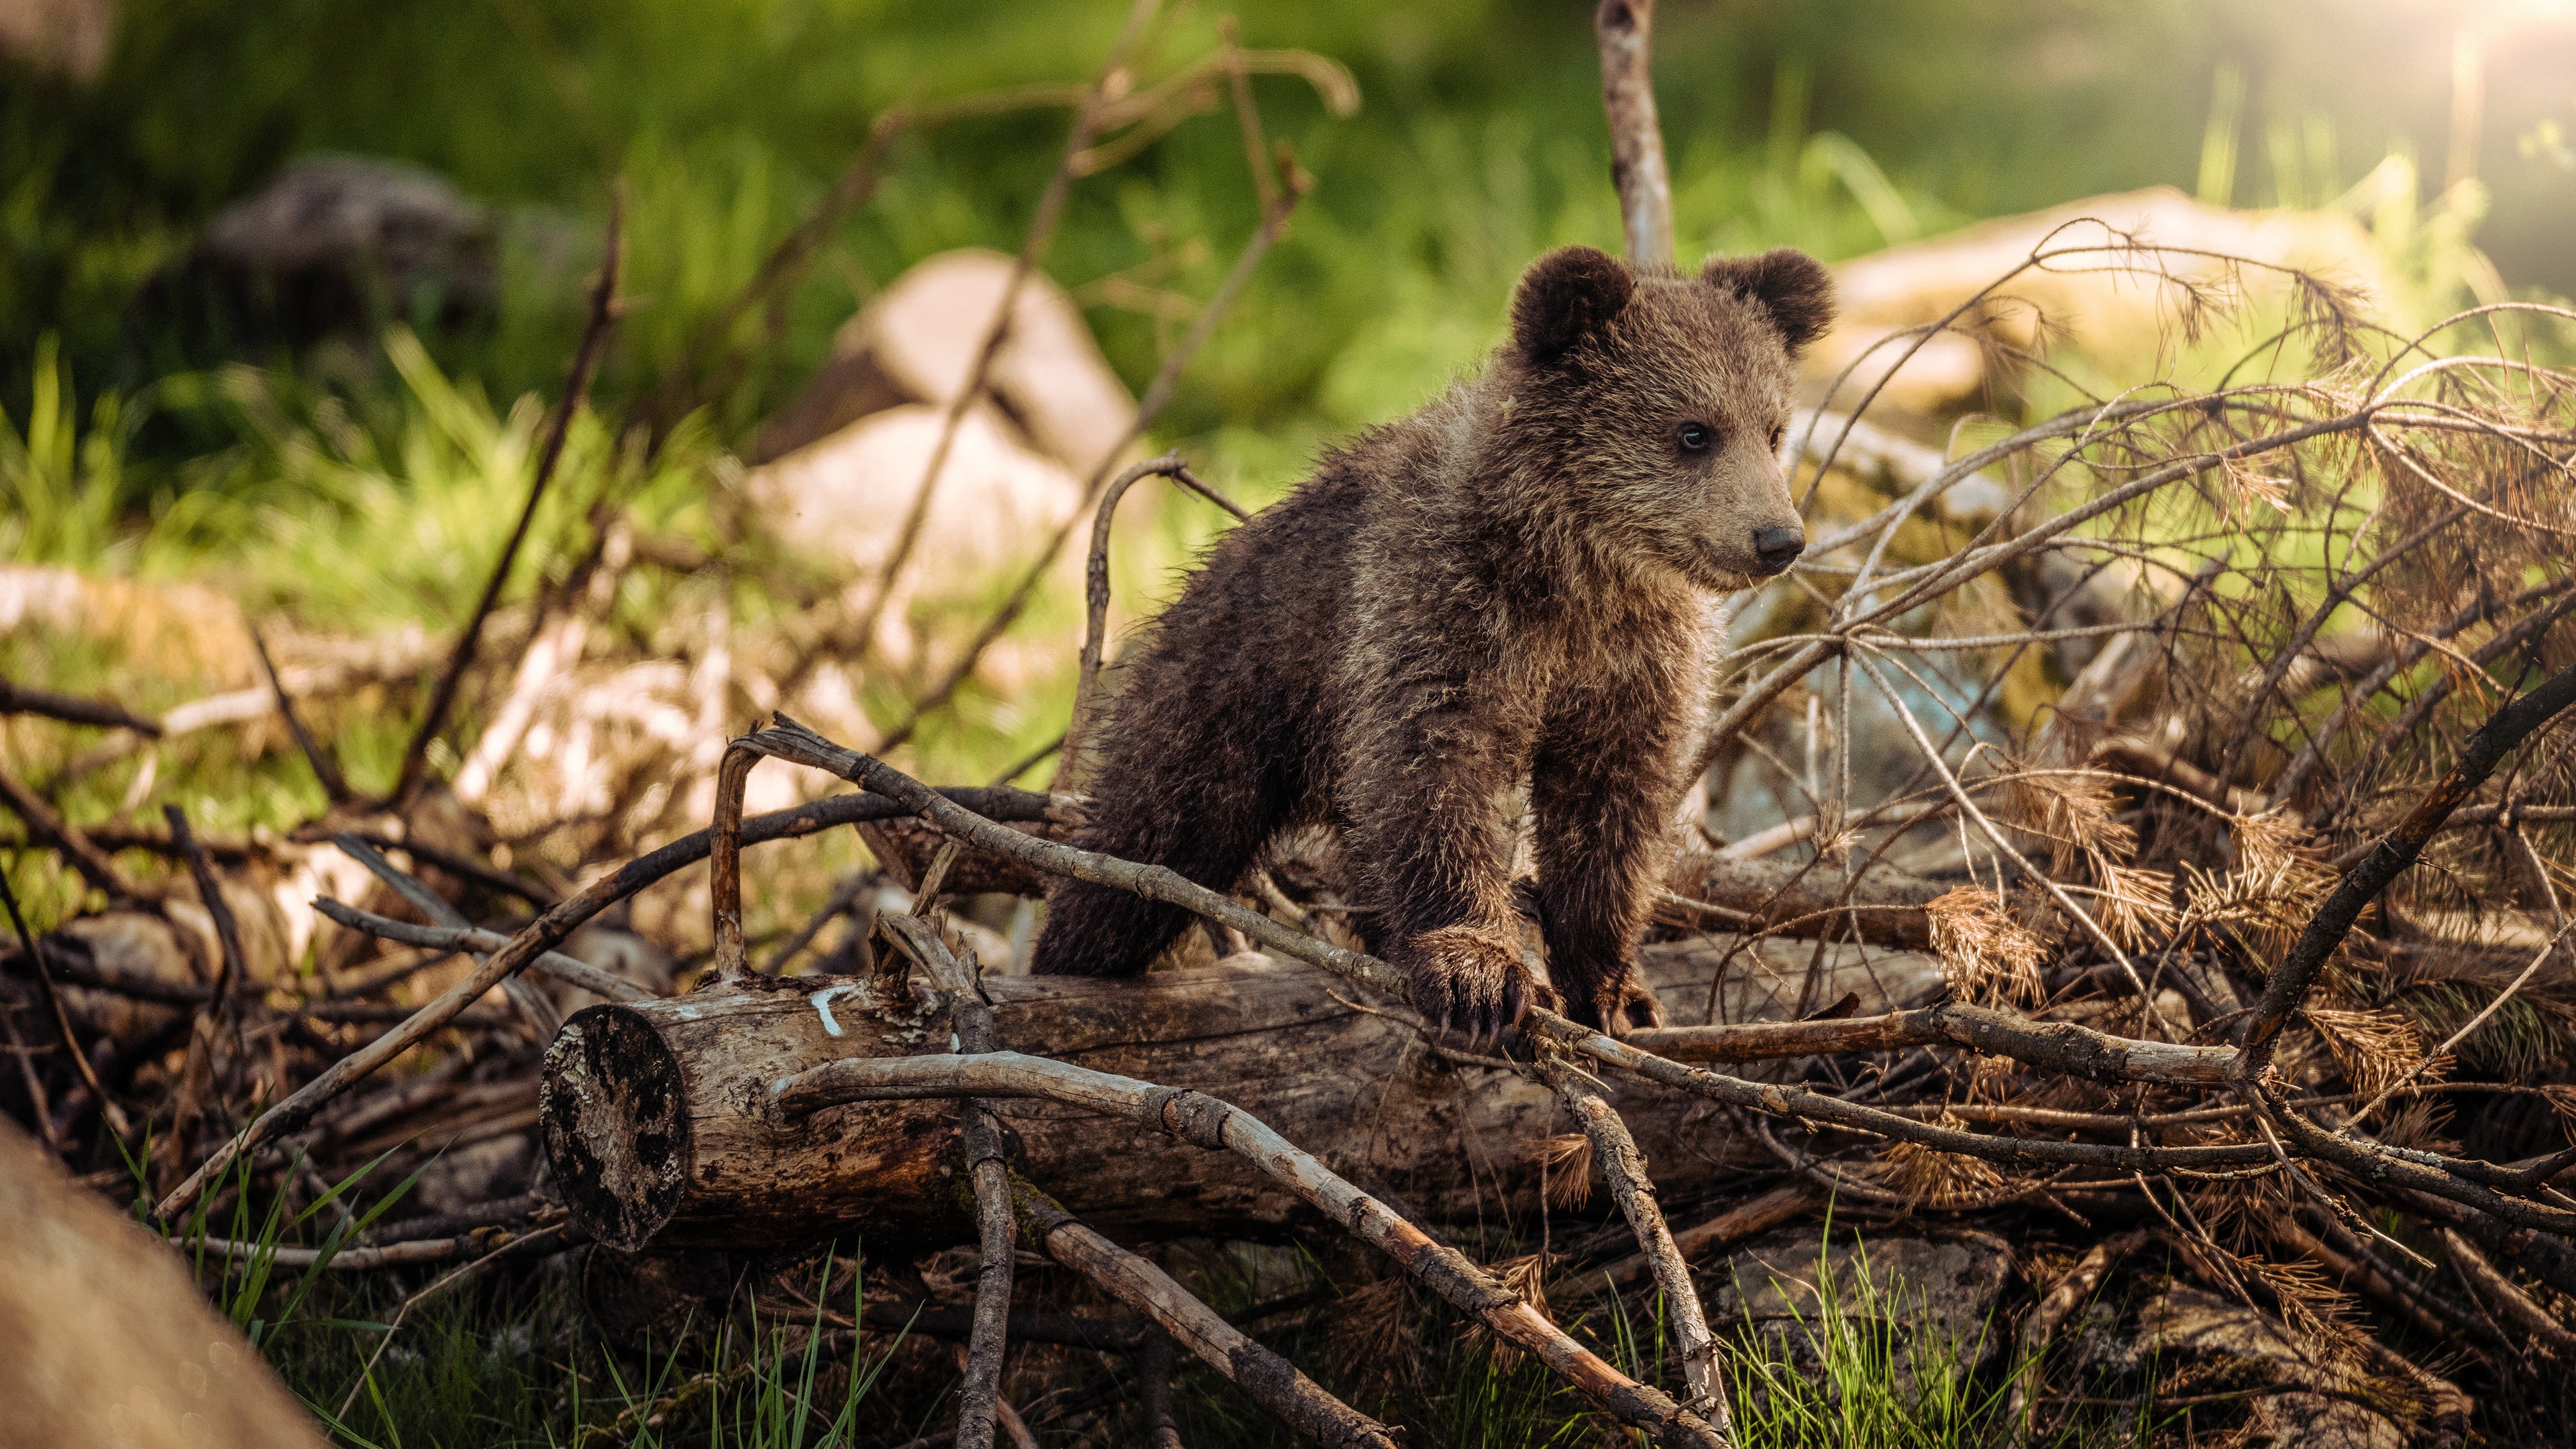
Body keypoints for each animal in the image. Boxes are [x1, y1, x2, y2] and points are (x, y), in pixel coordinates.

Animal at [1030, 243, 1830, 1039]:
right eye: (1694, 431)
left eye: (1773, 429)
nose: (1778, 539)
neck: (1578, 571)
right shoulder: (1441, 612)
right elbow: (1435, 773)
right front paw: (1478, 972)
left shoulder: (1633, 662)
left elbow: (1612, 808)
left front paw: (1614, 989)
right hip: (1223, 700)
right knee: (1142, 847)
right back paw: (1070, 958)